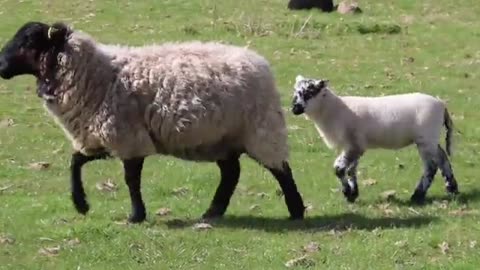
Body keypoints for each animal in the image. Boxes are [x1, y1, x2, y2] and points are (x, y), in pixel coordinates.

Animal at [0, 21, 308, 223]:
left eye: (28, 41)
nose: (1, 66)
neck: (94, 74)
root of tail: (259, 62)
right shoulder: (103, 134)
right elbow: (76, 161)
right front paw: (81, 204)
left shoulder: (127, 136)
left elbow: (130, 179)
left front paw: (135, 215)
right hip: (221, 137)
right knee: (232, 173)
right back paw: (213, 212)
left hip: (260, 128)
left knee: (281, 169)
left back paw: (296, 210)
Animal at [290, 75, 460, 204]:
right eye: (296, 92)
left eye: (309, 92)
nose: (295, 108)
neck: (333, 110)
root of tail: (441, 105)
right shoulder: (354, 144)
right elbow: (351, 169)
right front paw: (353, 194)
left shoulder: (354, 144)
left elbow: (339, 169)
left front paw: (347, 192)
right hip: (430, 139)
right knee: (442, 158)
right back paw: (452, 188)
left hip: (425, 139)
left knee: (431, 167)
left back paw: (417, 195)